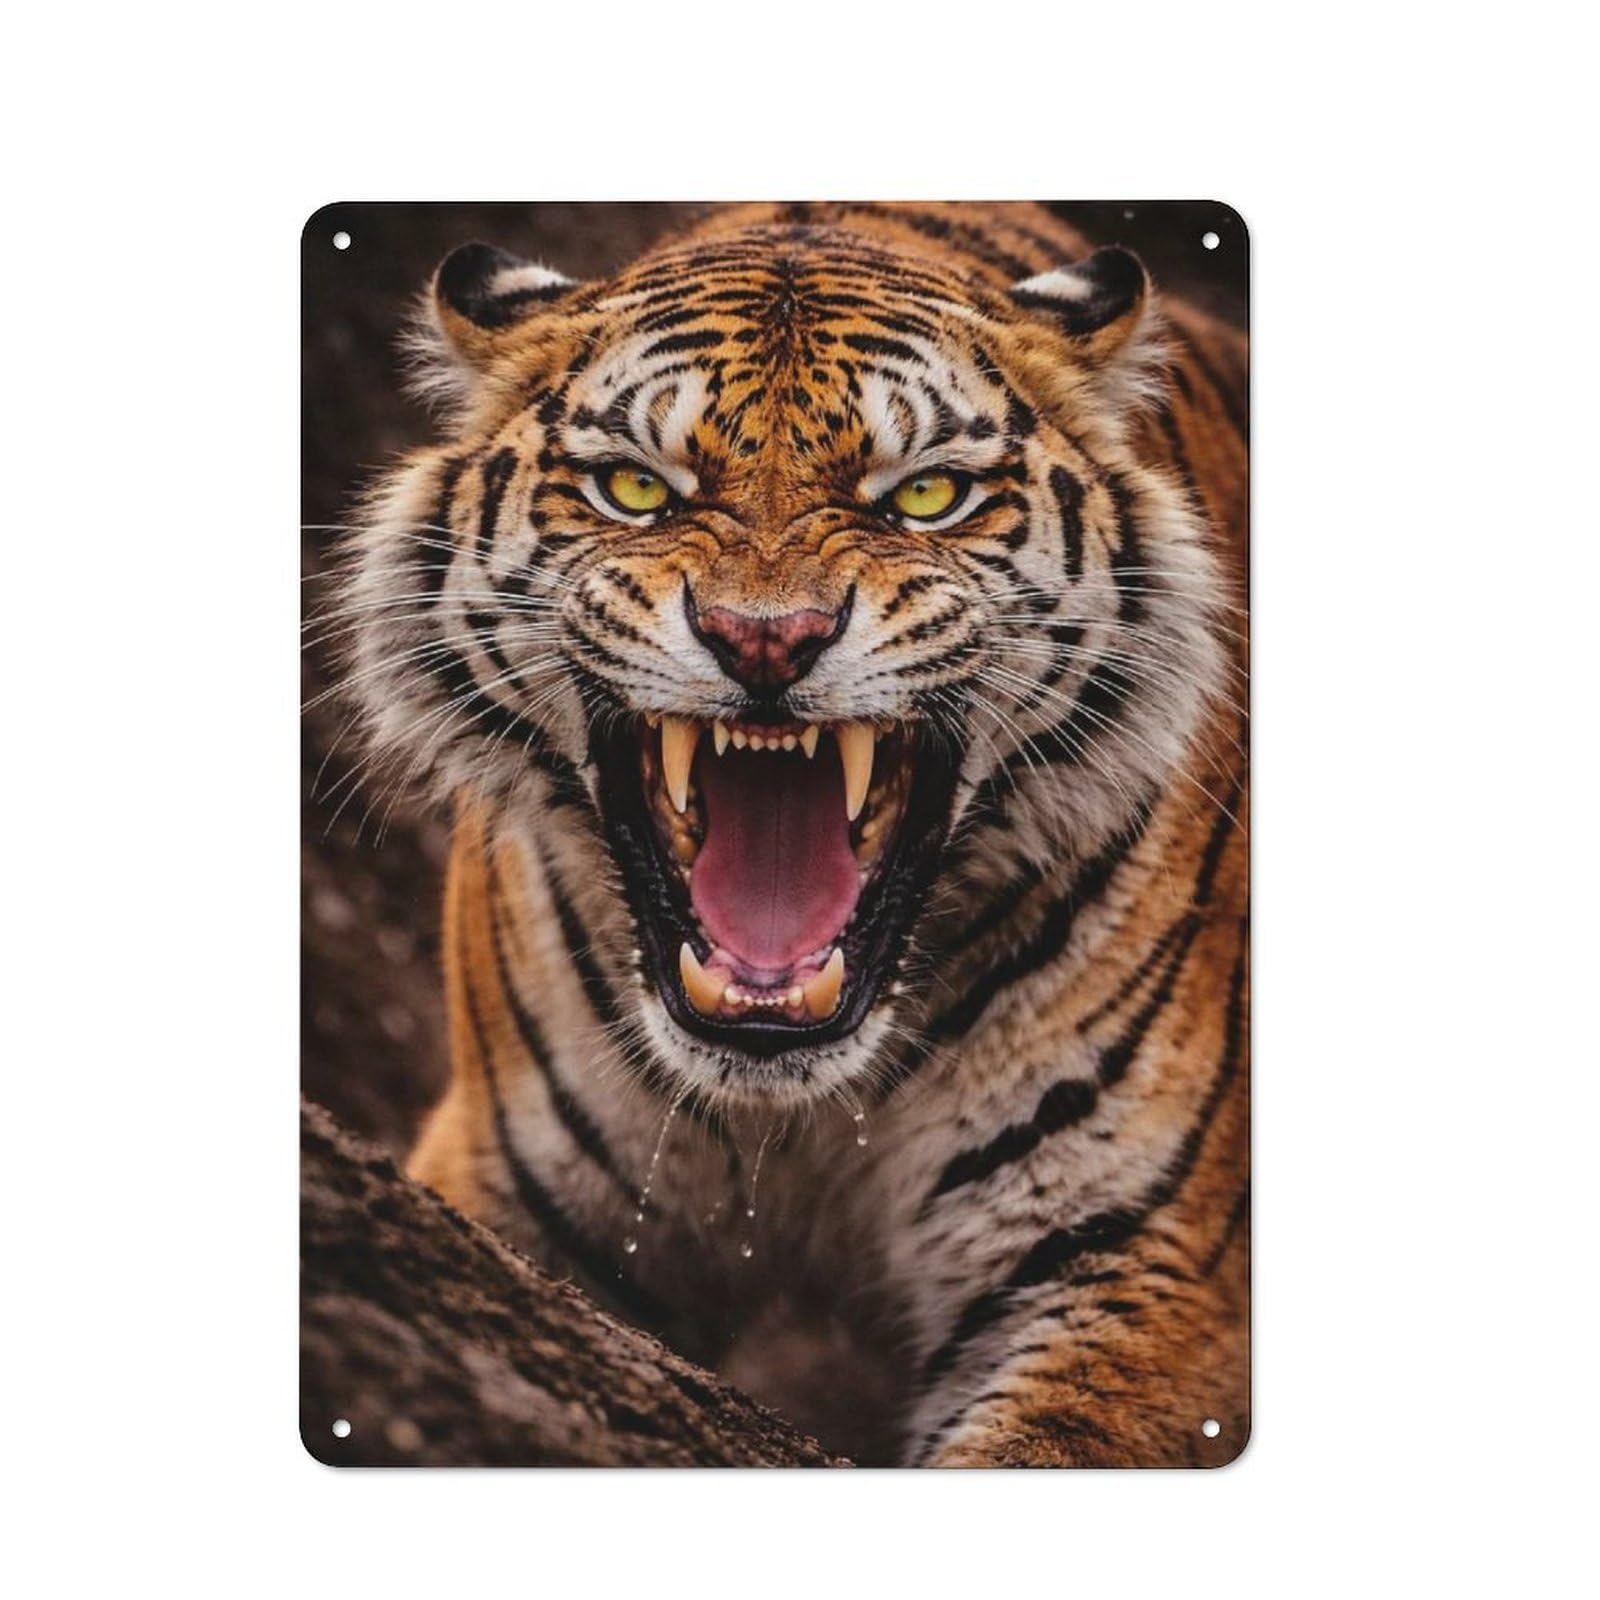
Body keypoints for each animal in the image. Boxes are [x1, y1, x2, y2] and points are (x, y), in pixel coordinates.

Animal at [332, 201, 1248, 1466]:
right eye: (634, 488)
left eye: (924, 497)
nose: (764, 637)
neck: (797, 1115)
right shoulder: (495, 1182)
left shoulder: (1139, 1260)